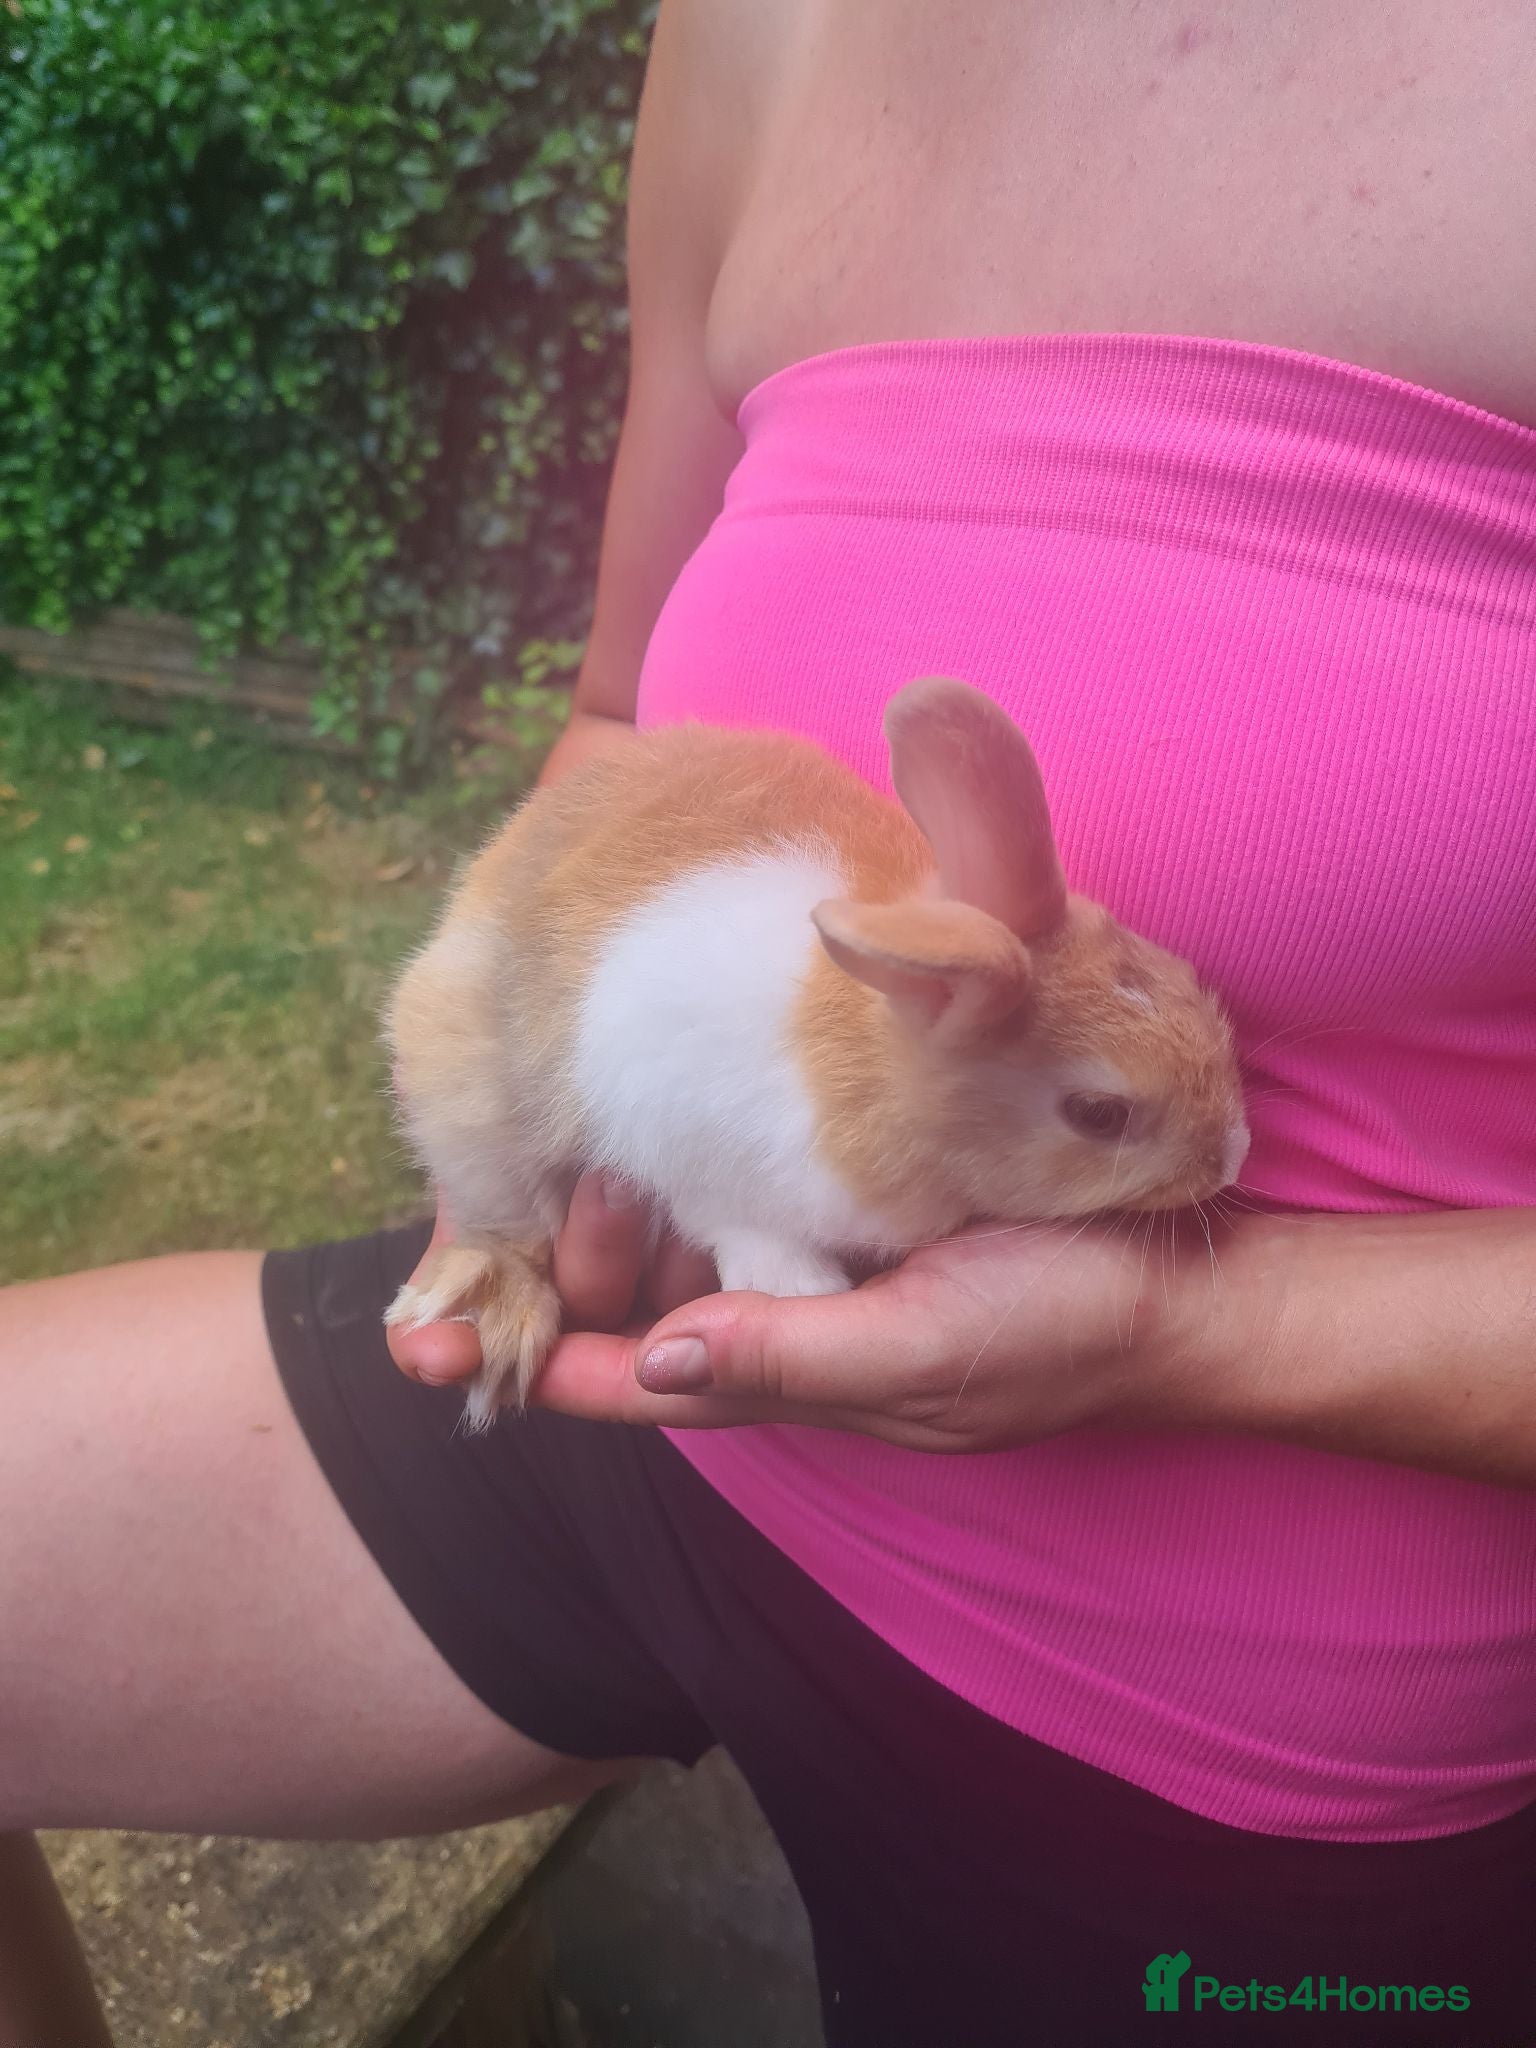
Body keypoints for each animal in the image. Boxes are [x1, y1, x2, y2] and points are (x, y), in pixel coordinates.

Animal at [384, 676, 1249, 1428]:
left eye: (1182, 977)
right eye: (1098, 1114)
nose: (1233, 1156)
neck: (881, 1066)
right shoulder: (687, 1141)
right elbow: (732, 1217)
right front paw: (799, 1290)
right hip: (476, 1118)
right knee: (508, 1230)